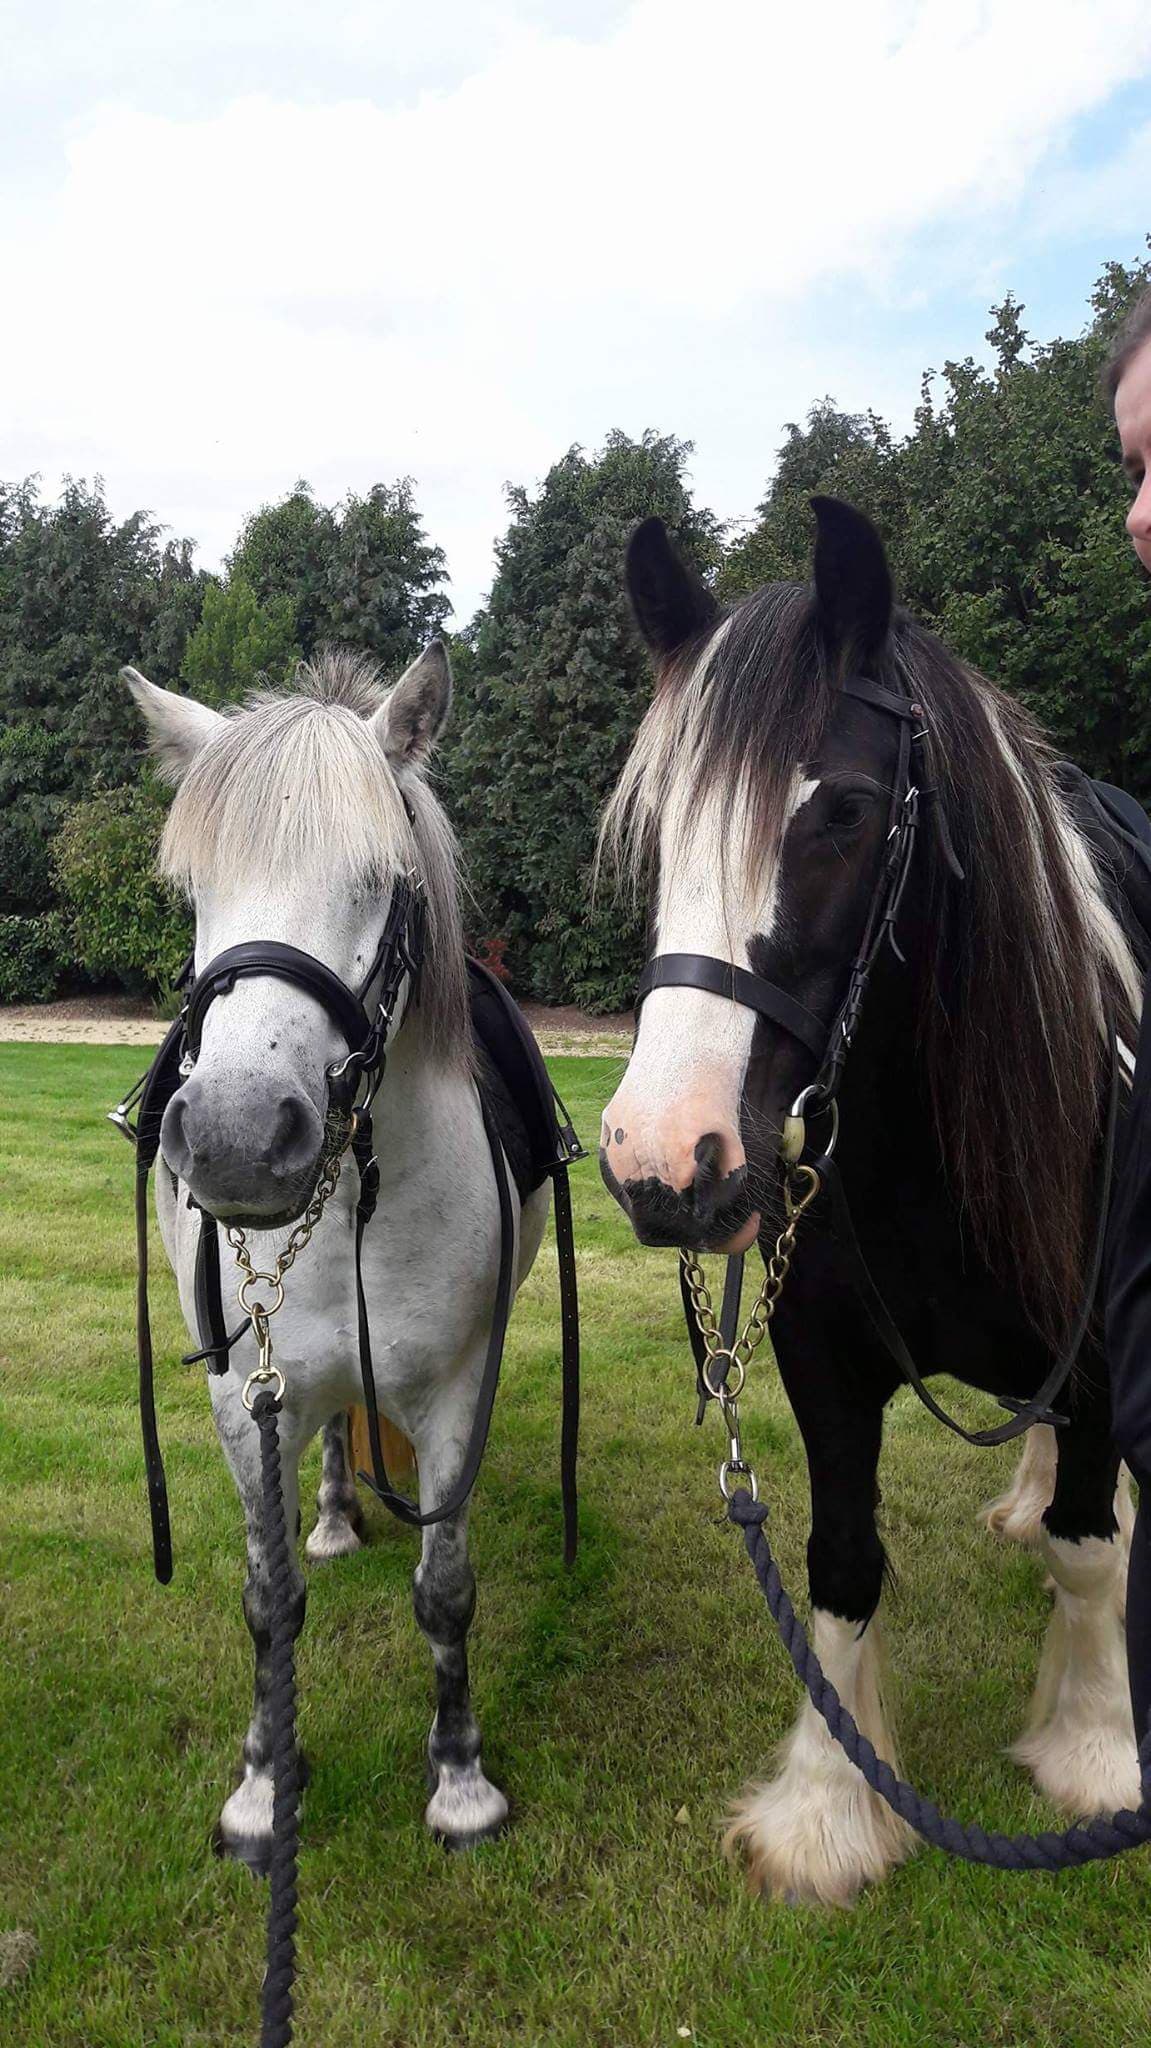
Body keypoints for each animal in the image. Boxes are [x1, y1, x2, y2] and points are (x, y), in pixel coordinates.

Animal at [124, 643, 550, 1869]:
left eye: (382, 879)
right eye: (196, 891)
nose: (231, 1136)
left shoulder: (459, 1391)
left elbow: (445, 1588)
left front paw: (460, 1780)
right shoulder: (241, 1398)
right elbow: (268, 1602)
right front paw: (265, 1787)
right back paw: (328, 1514)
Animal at [597, 496, 1143, 1905]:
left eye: (841, 808)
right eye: (657, 823)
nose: (660, 1158)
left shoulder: (1098, 1351)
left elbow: (1087, 1549)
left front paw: (1092, 1750)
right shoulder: (823, 1361)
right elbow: (840, 1568)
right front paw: (828, 1812)